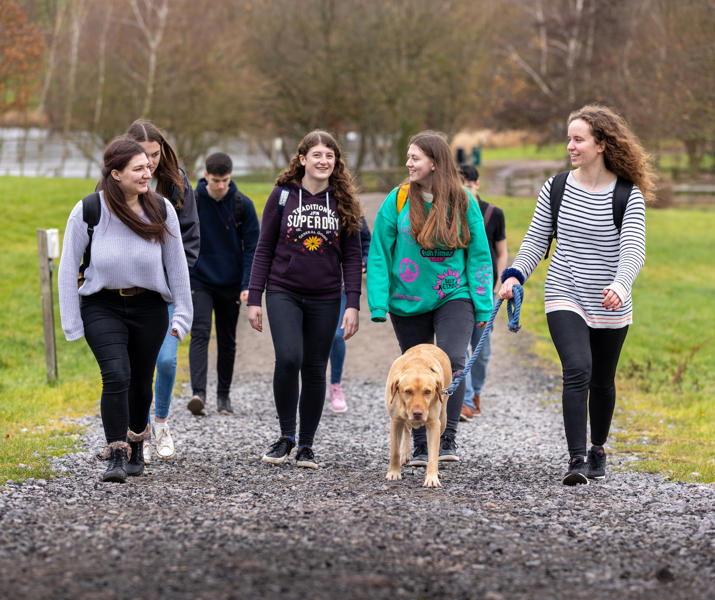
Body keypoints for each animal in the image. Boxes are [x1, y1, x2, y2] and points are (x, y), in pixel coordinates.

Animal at [386, 342, 454, 488]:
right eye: (408, 391)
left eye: (428, 391)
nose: (418, 413)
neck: (417, 365)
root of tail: (428, 344)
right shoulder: (395, 421)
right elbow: (394, 451)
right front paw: (393, 472)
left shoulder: (434, 424)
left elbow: (433, 455)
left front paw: (432, 477)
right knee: (407, 429)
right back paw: (405, 453)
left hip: (443, 418)